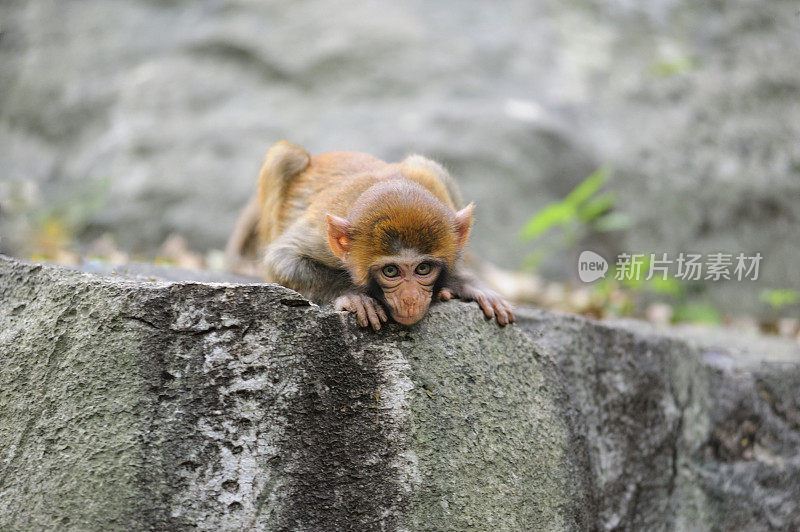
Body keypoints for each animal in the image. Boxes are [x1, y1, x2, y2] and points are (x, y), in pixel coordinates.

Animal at [227, 140, 512, 328]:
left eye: (423, 269)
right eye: (391, 271)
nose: (410, 299)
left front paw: (462, 283)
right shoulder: (323, 239)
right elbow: (280, 259)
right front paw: (352, 293)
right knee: (285, 156)